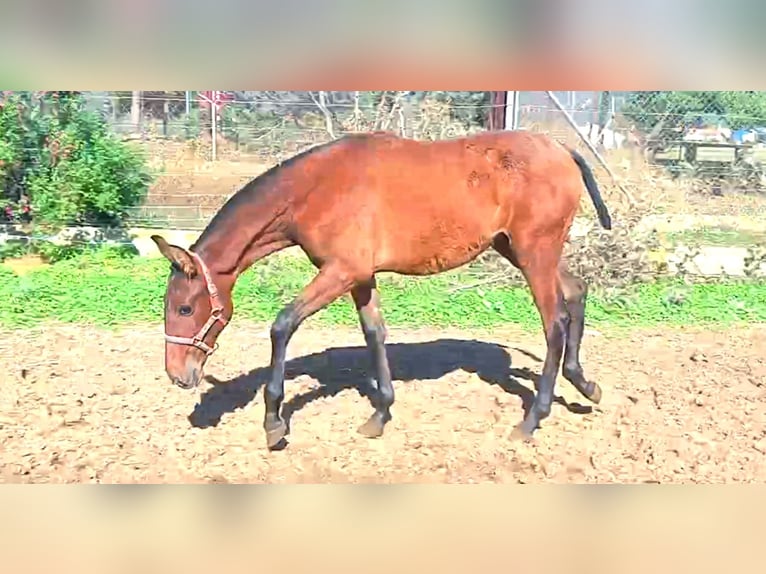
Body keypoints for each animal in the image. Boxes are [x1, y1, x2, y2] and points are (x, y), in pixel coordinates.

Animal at [153, 129, 616, 450]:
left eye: (183, 309)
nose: (177, 375)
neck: (316, 189)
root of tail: (562, 150)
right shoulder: (360, 276)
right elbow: (375, 334)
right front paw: (380, 415)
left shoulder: (341, 271)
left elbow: (282, 325)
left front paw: (273, 422)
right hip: (522, 249)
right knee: (576, 292)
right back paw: (585, 384)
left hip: (534, 251)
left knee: (554, 323)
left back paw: (532, 419)